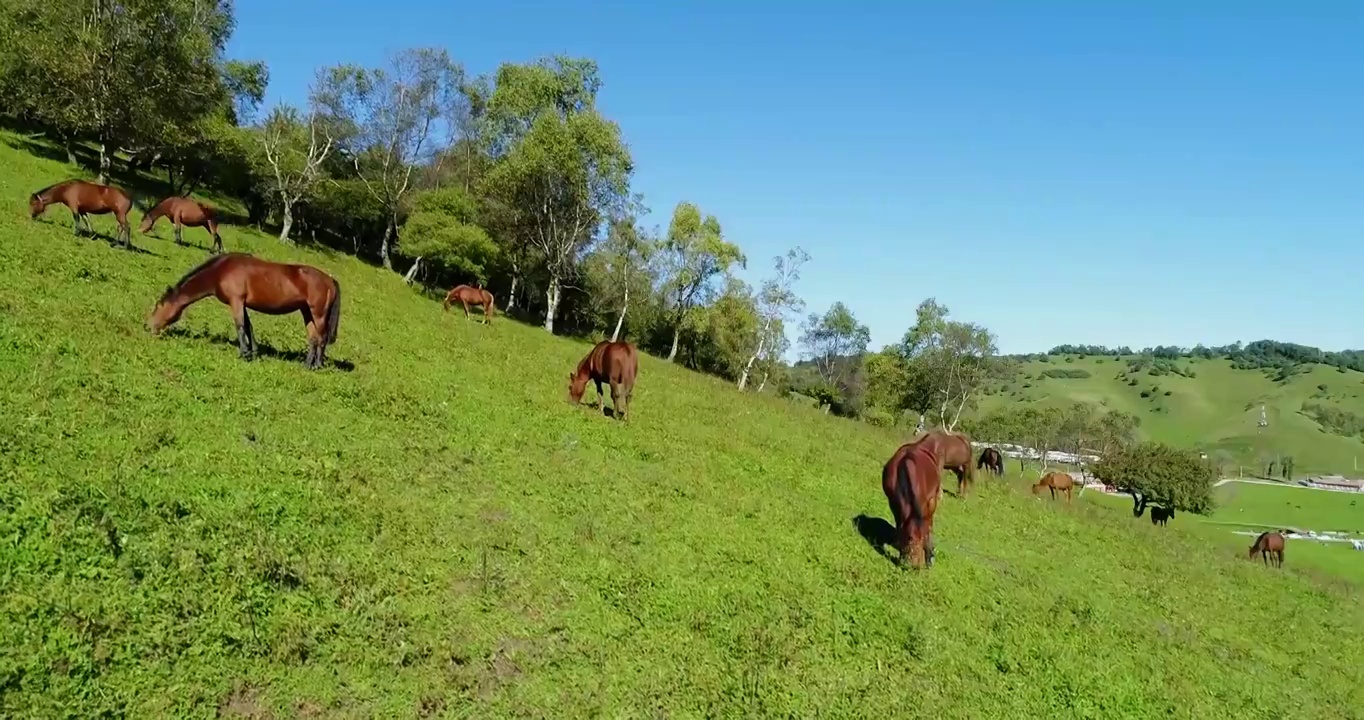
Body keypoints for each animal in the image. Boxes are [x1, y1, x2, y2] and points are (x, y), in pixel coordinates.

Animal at [145, 253, 341, 368]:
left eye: (158, 306)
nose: (148, 327)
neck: (221, 270)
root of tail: (330, 279)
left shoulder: (236, 301)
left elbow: (240, 326)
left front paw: (244, 354)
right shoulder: (242, 303)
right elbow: (248, 327)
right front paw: (253, 352)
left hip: (318, 314)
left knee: (321, 338)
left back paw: (317, 365)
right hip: (306, 312)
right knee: (313, 338)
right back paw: (307, 364)